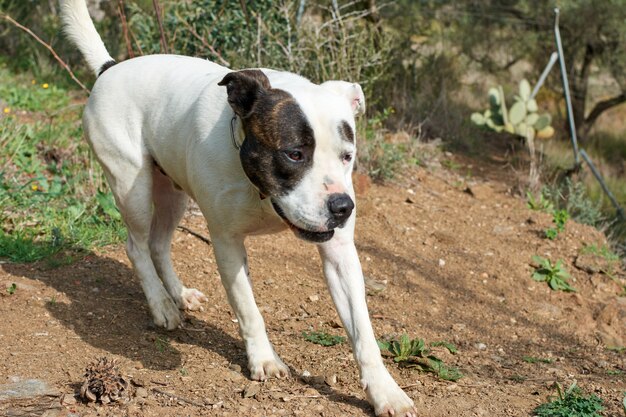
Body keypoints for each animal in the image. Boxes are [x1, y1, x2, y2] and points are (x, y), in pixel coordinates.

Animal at [61, 1, 416, 414]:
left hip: (172, 192)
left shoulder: (340, 253)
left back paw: (178, 295)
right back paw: (161, 305)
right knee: (136, 245)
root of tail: (111, 67)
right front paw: (264, 359)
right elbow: (248, 309)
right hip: (132, 185)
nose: (342, 206)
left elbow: (363, 331)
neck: (260, 190)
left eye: (348, 156)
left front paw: (385, 390)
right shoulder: (227, 243)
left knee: (159, 243)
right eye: (294, 154)